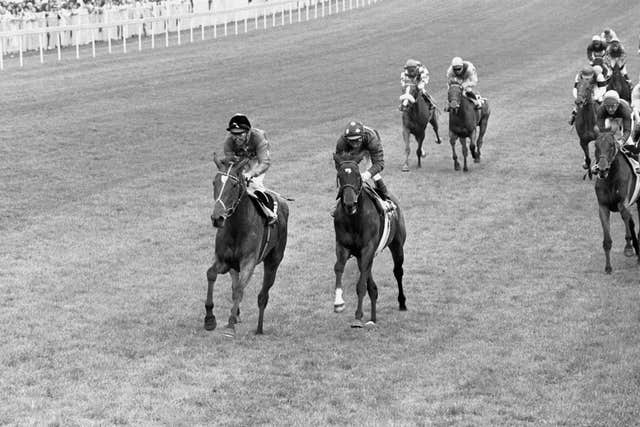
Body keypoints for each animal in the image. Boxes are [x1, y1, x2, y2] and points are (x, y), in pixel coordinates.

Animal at [206, 154, 288, 338]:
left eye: (234, 184)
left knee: (263, 295)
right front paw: (209, 319)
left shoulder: (248, 262)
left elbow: (240, 289)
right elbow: (212, 274)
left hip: (273, 261)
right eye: (214, 182)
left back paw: (259, 328)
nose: (217, 218)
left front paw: (230, 325)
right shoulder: (224, 261)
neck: (237, 227)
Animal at [332, 153, 408, 328]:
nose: (349, 203)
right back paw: (373, 318)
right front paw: (338, 302)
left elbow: (361, 285)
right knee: (371, 285)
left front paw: (358, 317)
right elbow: (339, 268)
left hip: (397, 245)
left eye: (358, 176)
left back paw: (402, 303)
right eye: (340, 176)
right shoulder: (343, 246)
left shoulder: (367, 249)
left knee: (398, 271)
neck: (354, 219)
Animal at [592, 130, 636, 276]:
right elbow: (607, 239)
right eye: (596, 145)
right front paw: (608, 267)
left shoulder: (624, 202)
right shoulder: (603, 207)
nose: (602, 168)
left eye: (611, 145)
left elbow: (625, 215)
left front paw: (628, 248)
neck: (610, 179)